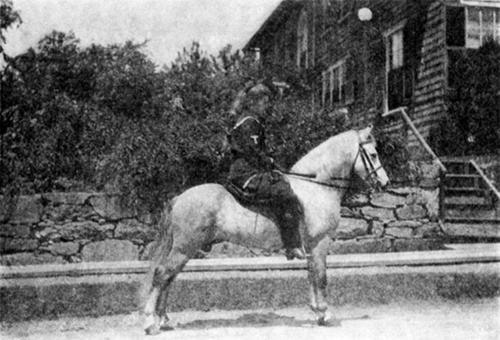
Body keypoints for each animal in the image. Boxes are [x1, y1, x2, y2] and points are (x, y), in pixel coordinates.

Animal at [142, 125, 390, 334]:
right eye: (373, 155)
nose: (385, 183)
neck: (315, 187)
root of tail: (179, 198)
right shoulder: (320, 242)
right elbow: (321, 277)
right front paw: (326, 314)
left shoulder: (311, 246)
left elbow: (311, 275)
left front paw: (317, 312)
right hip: (184, 248)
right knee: (162, 274)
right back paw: (150, 322)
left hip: (185, 250)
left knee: (169, 278)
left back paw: (163, 319)